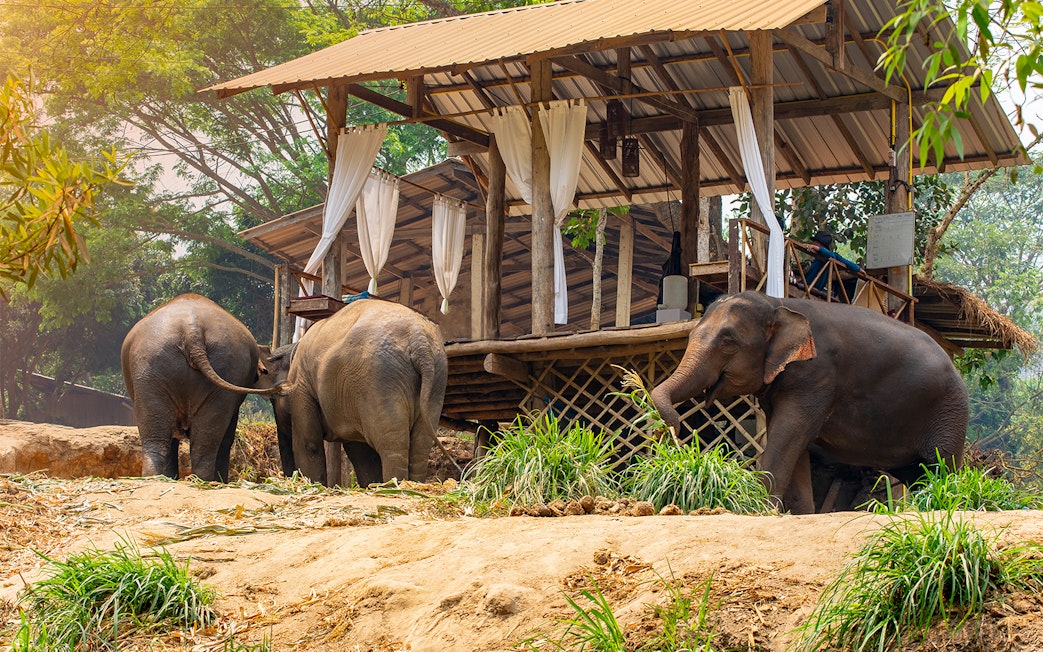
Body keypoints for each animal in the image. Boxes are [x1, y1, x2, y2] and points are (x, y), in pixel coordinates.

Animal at [273, 298, 448, 488]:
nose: (287, 475)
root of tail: (419, 341)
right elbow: (362, 452)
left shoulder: (302, 384)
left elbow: (309, 443)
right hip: (436, 378)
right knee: (421, 443)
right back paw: (413, 485)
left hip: (379, 377)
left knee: (392, 443)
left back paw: (394, 486)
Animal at [650, 291, 968, 514]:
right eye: (690, 335)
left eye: (728, 342)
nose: (675, 431)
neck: (778, 303)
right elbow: (794, 443)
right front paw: (799, 514)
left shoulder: (816, 376)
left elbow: (789, 433)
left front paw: (759, 509)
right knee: (918, 474)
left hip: (949, 413)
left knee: (941, 465)